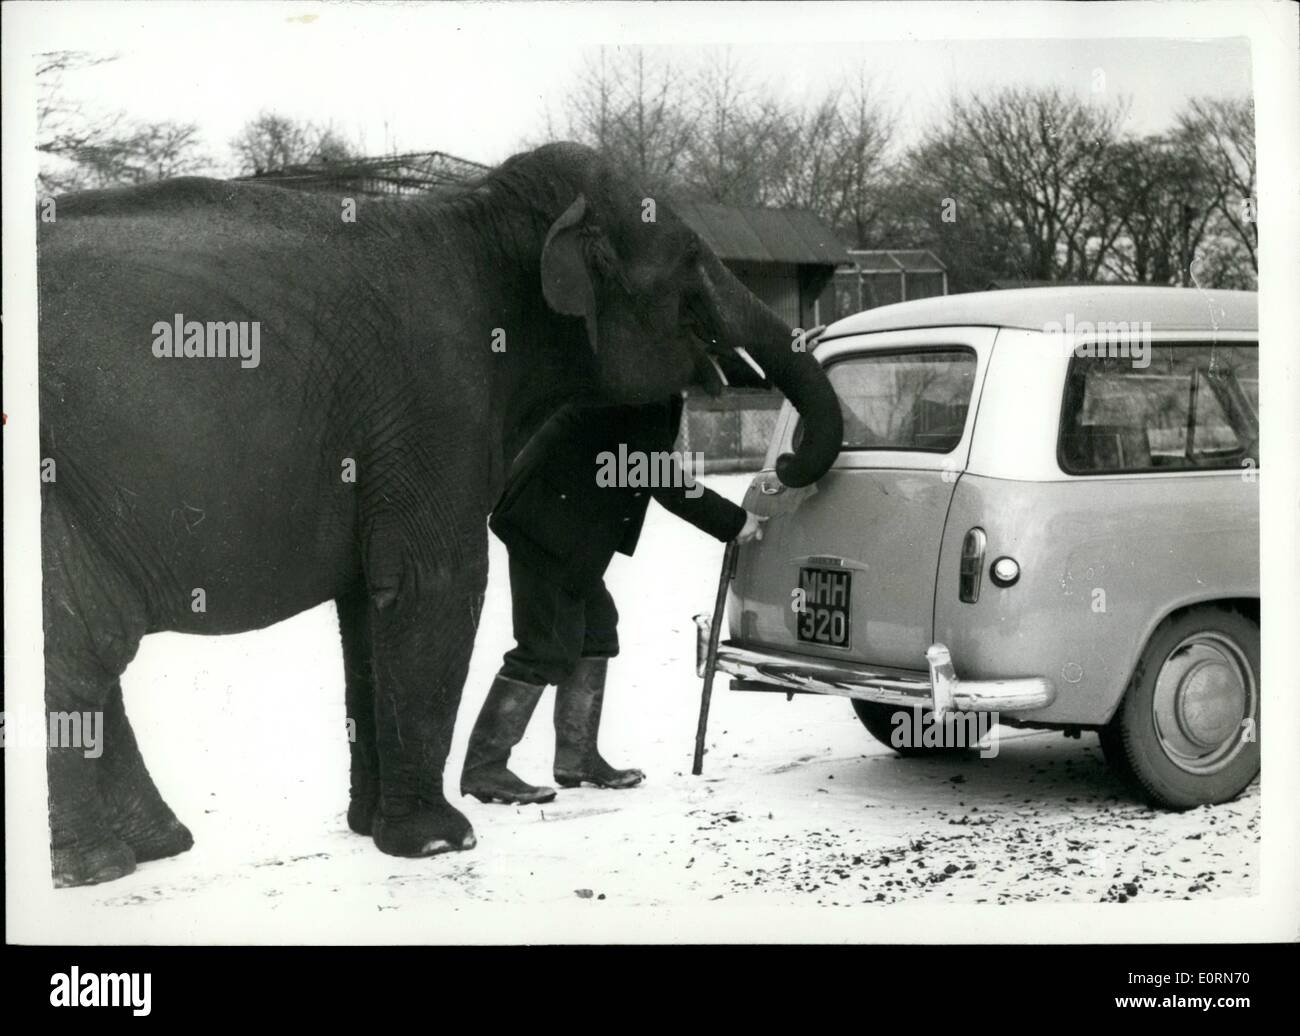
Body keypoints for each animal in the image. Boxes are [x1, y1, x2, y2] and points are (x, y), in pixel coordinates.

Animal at [38, 143, 842, 889]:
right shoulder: (434, 396)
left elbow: (368, 607)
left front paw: (372, 830)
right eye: (691, 262)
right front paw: (439, 842)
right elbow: (436, 583)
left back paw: (154, 846)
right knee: (85, 646)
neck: (485, 214)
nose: (786, 474)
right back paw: (99, 866)